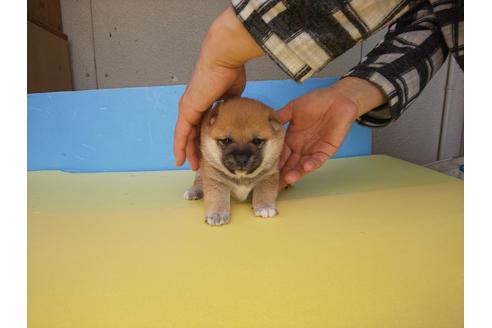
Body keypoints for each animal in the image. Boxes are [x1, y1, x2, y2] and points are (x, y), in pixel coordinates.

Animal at [184, 97, 284, 226]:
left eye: (257, 141)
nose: (241, 159)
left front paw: (265, 206)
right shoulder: (215, 179)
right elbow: (218, 197)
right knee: (199, 178)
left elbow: (264, 191)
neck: (242, 177)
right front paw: (217, 214)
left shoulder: (268, 176)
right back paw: (194, 191)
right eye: (226, 140)